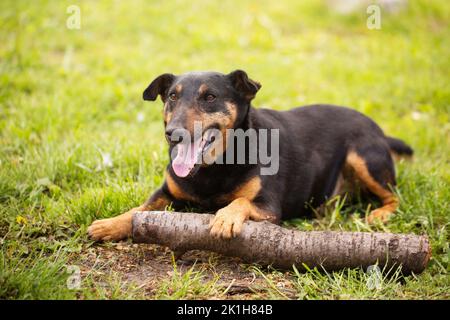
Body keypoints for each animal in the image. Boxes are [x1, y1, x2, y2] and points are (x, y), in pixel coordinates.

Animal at [87, 69, 412, 240]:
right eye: (172, 97)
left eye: (210, 97)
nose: (173, 133)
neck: (214, 167)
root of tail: (379, 130)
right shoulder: (165, 193)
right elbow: (138, 211)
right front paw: (110, 223)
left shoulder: (269, 207)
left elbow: (240, 201)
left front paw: (224, 218)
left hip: (364, 156)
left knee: (395, 196)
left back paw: (380, 214)